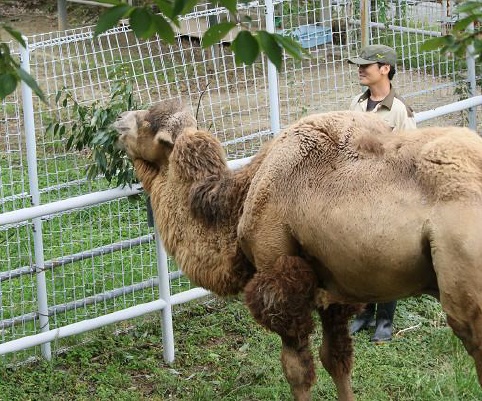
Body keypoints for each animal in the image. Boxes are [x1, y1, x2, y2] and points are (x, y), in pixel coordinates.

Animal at [113, 99, 482, 400]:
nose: (118, 120)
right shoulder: (334, 283)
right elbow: (337, 359)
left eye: (146, 122)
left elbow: (297, 371)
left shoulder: (279, 272)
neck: (239, 203)